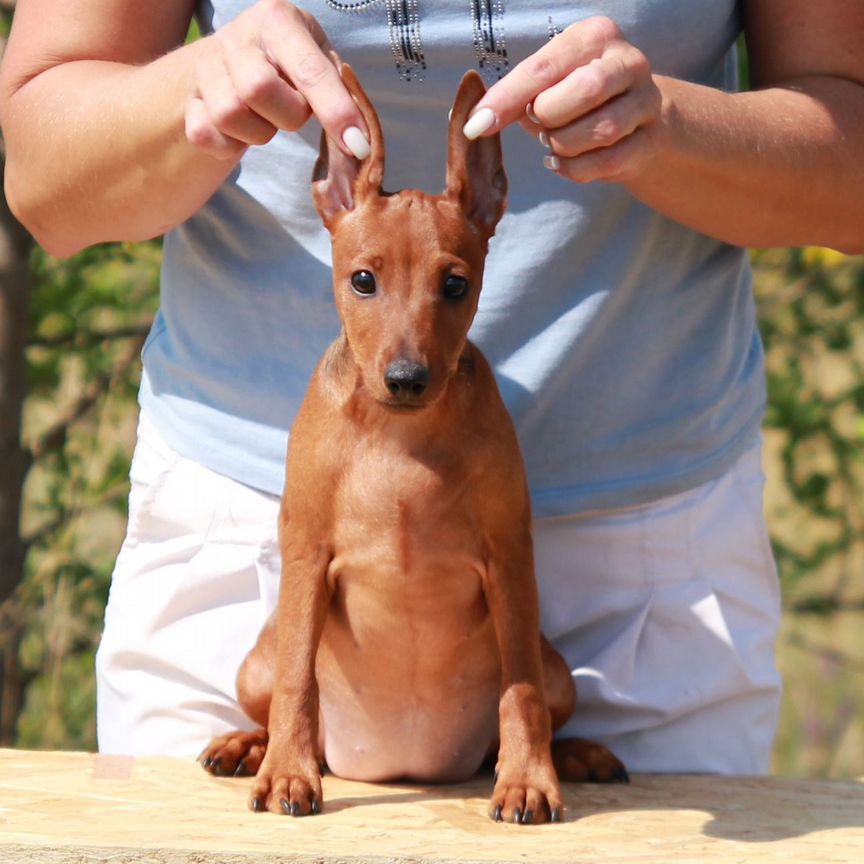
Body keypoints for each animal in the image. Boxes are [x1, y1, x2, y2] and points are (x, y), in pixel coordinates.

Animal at [200, 64, 624, 820]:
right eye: (363, 280)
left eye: (455, 284)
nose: (405, 378)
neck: (399, 437)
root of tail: (397, 765)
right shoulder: (307, 555)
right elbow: (298, 681)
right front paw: (286, 773)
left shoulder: (510, 560)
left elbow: (520, 693)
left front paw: (528, 777)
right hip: (256, 659)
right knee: (273, 694)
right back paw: (250, 745)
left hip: (561, 670)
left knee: (539, 704)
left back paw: (574, 755)